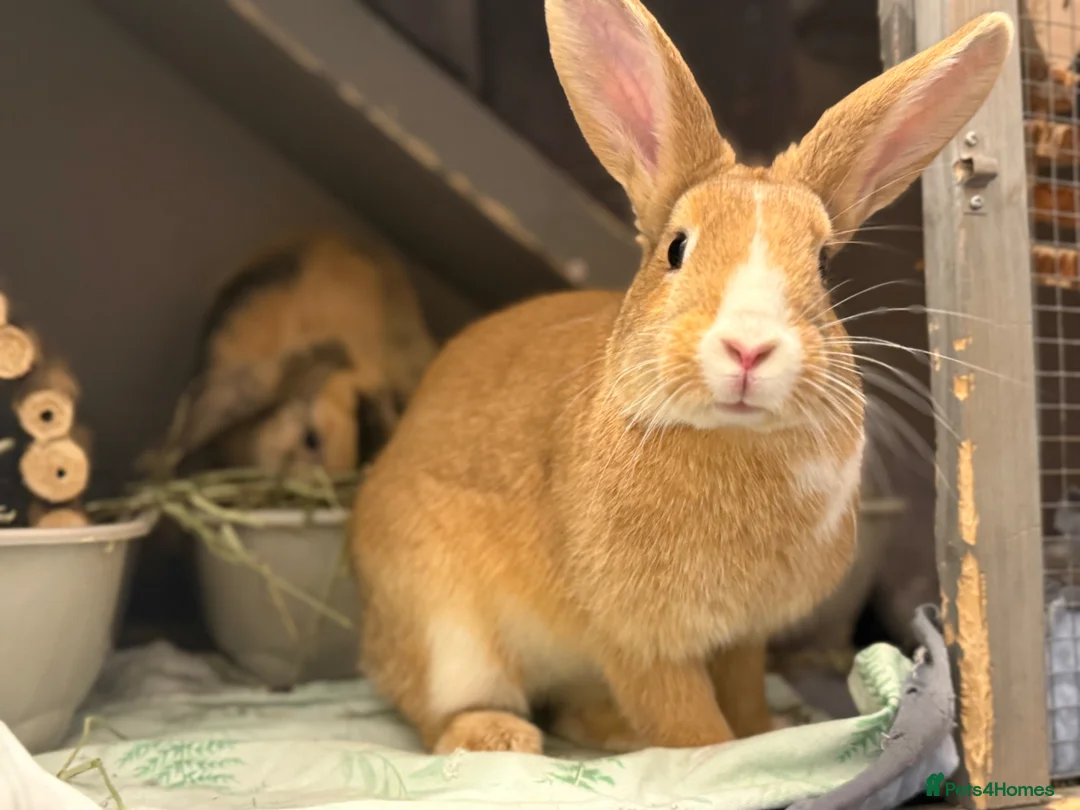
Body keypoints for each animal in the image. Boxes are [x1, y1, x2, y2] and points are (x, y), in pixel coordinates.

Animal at [350, 0, 1013, 756]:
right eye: (676, 248)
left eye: (820, 265)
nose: (749, 347)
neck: (731, 440)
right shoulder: (637, 640)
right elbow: (683, 719)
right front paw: (720, 756)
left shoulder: (740, 637)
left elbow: (742, 692)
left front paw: (767, 733)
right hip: (445, 632)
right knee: (442, 712)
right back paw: (499, 737)